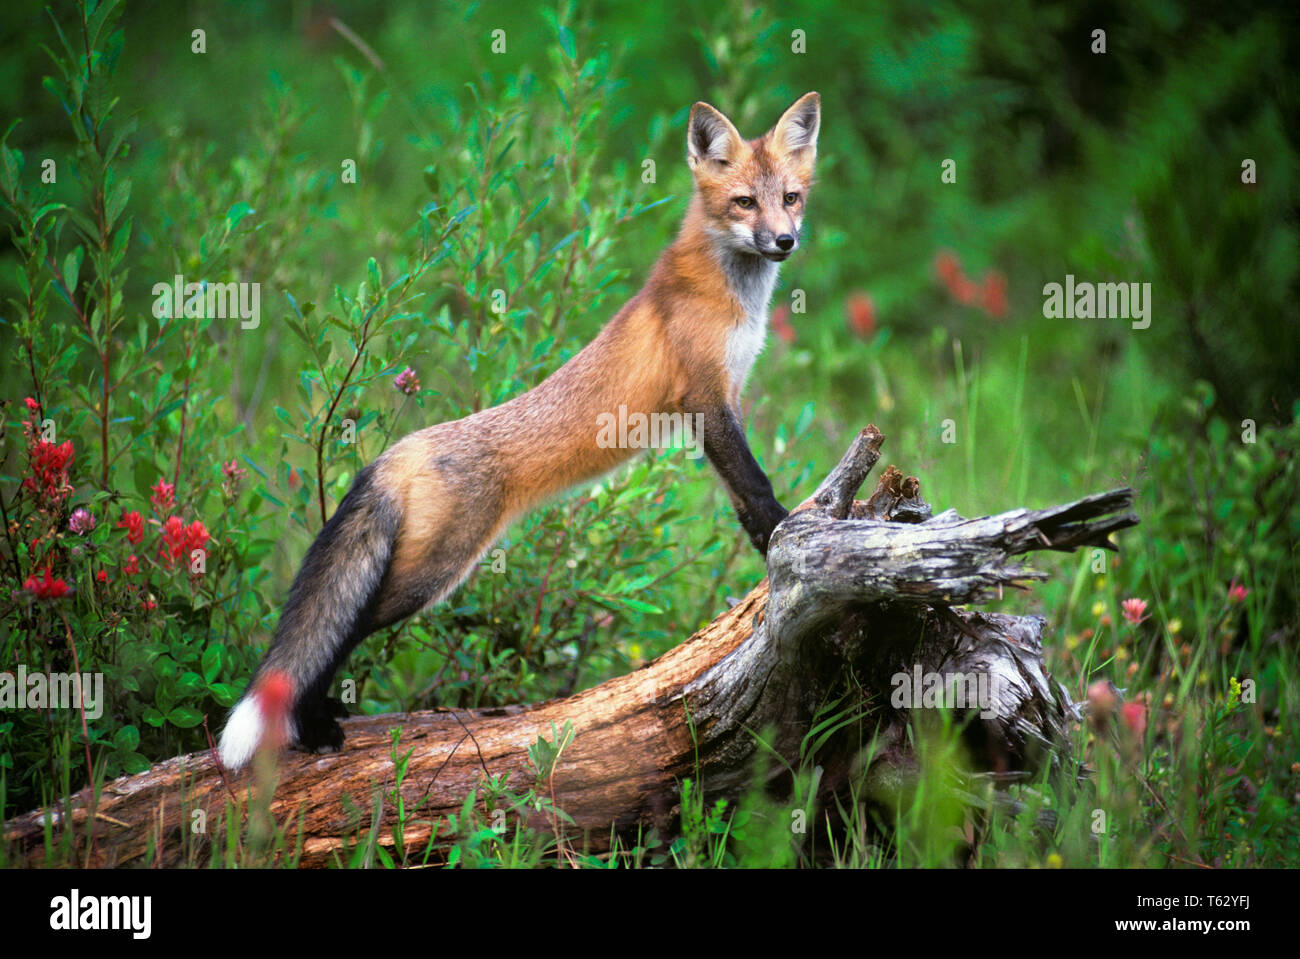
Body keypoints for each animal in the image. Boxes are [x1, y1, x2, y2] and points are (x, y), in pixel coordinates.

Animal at [217, 91, 816, 769]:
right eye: (744, 202)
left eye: (790, 197)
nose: (785, 240)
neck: (731, 295)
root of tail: (397, 452)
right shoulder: (706, 400)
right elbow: (758, 484)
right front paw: (789, 530)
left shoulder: (720, 404)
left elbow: (741, 499)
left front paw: (766, 551)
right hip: (431, 573)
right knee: (343, 631)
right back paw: (312, 724)